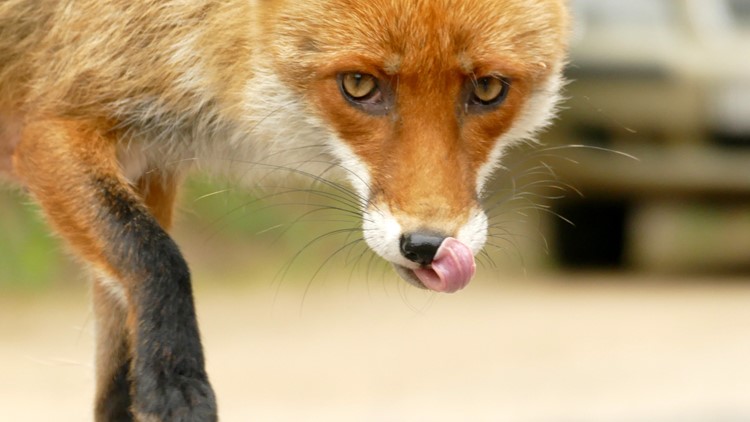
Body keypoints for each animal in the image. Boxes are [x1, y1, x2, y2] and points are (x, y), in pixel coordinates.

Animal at [0, 0, 568, 420]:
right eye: (358, 85)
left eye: (488, 89)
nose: (429, 246)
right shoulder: (50, 128)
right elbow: (156, 256)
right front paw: (176, 380)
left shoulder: (149, 164)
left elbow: (117, 380)